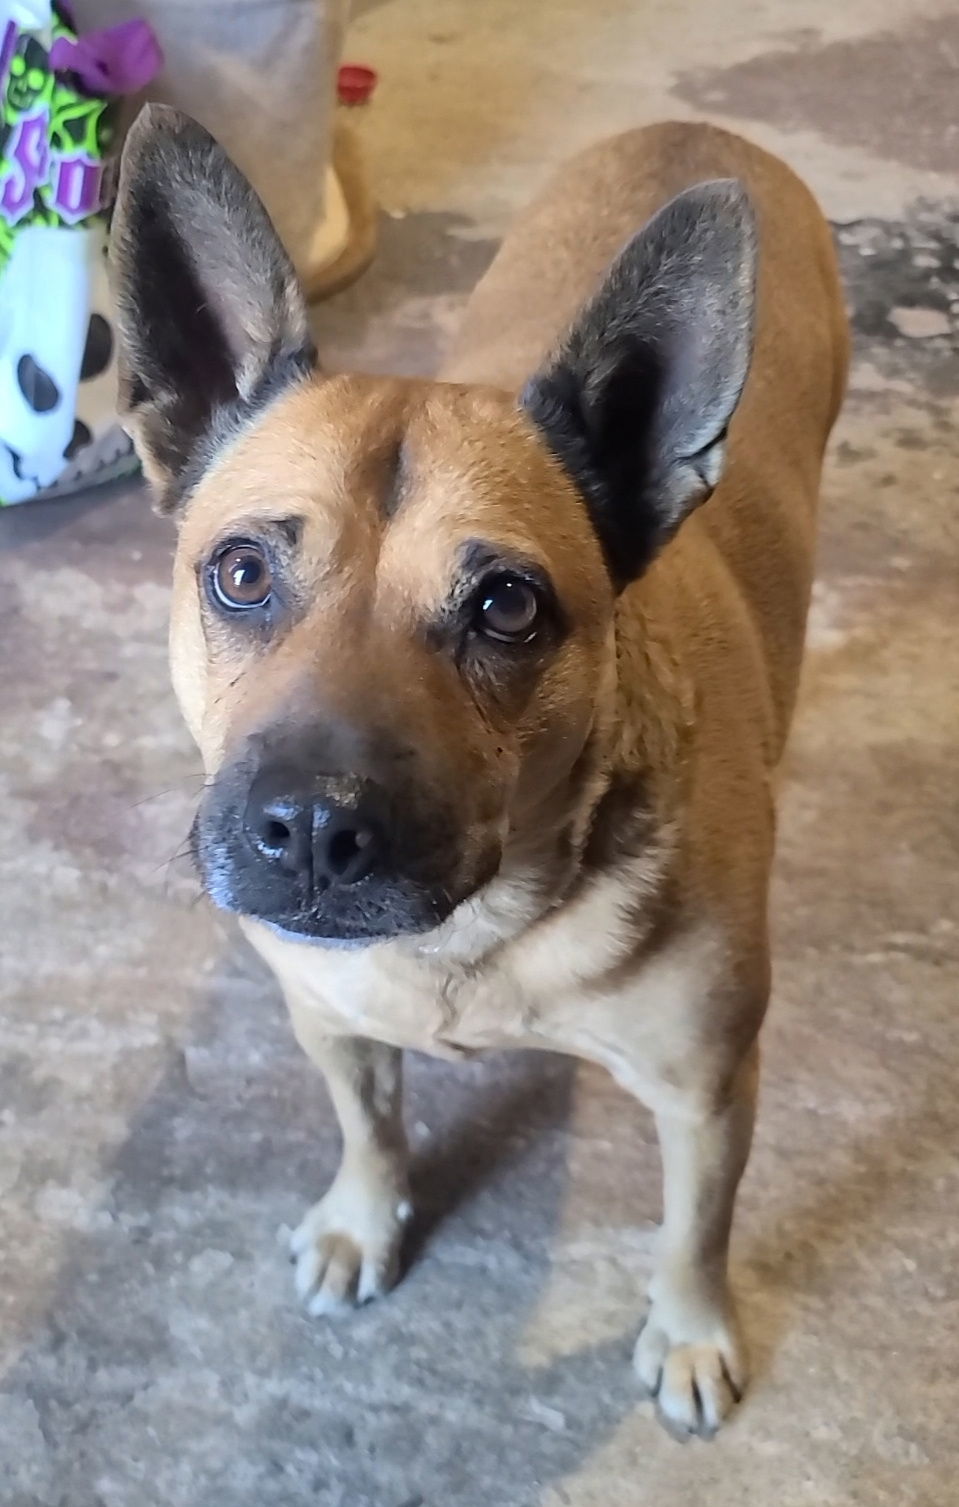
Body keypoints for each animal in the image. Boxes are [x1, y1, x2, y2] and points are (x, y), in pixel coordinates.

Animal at [110, 103, 844, 1434]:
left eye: (505, 607)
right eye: (240, 573)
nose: (311, 829)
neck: (474, 931)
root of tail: (691, 125)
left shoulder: (708, 1090)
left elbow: (693, 1230)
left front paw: (689, 1331)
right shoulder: (330, 1020)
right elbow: (370, 1127)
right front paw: (361, 1219)